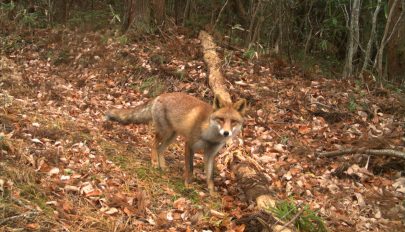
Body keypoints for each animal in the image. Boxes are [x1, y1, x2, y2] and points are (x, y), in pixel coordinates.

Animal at [105, 92, 246, 196]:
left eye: (233, 121)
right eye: (221, 119)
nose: (226, 133)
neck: (210, 135)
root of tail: (160, 95)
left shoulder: (210, 155)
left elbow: (210, 177)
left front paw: (212, 193)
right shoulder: (189, 144)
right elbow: (190, 169)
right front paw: (188, 186)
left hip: (172, 136)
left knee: (161, 149)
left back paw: (162, 166)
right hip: (165, 132)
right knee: (153, 143)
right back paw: (154, 162)